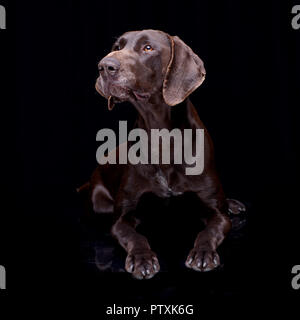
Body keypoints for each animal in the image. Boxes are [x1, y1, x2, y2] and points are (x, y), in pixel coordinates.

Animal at [78, 30, 245, 280]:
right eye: (117, 47)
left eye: (147, 48)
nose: (104, 66)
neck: (162, 137)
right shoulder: (121, 219)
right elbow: (135, 237)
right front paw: (142, 259)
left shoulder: (217, 213)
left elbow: (209, 232)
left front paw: (203, 253)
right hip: (99, 201)